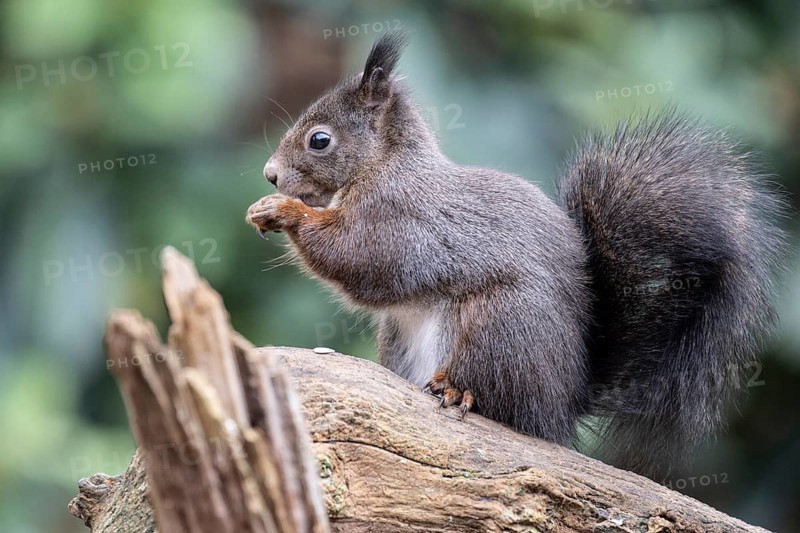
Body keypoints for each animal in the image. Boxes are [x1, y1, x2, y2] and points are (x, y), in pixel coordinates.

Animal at [245, 32, 787, 479]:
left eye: (320, 140)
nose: (270, 174)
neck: (385, 165)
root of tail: (564, 402)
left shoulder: (401, 221)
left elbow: (357, 257)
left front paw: (282, 211)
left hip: (500, 327)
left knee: (501, 402)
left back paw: (456, 391)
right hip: (401, 338)